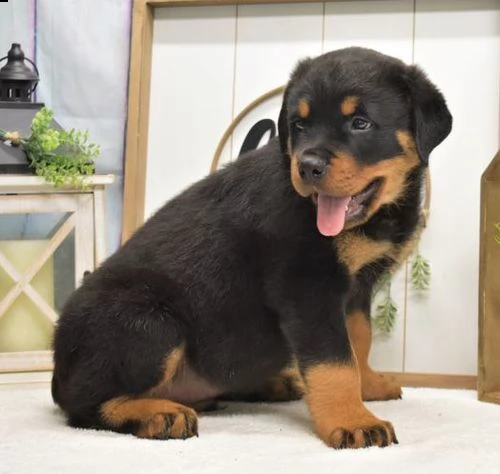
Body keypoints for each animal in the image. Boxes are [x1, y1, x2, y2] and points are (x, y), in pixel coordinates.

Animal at [52, 46, 452, 450]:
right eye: (299, 125)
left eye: (360, 123)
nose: (307, 167)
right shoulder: (308, 286)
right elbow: (334, 361)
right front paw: (353, 420)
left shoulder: (356, 288)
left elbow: (359, 339)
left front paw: (367, 385)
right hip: (148, 321)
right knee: (83, 403)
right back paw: (158, 414)